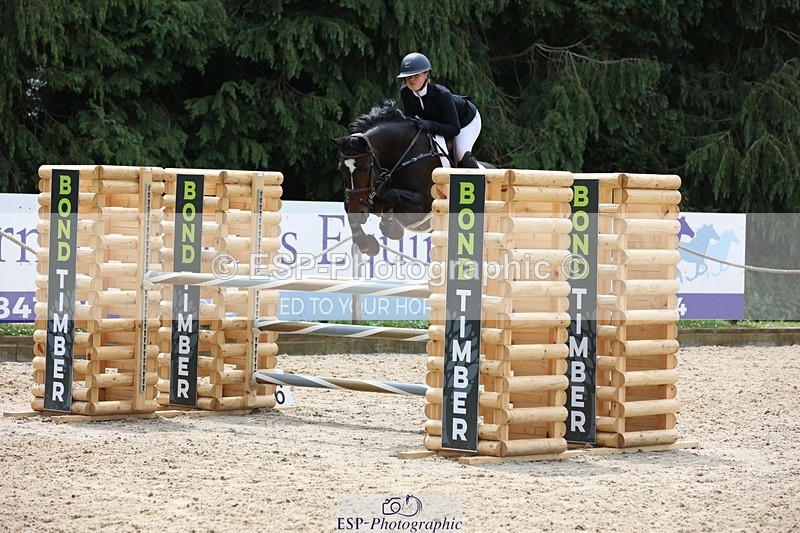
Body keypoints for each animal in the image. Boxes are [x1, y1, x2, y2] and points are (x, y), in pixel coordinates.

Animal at [332, 100, 451, 256]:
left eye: (365, 168)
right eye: (341, 170)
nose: (358, 213)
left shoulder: (423, 206)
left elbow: (391, 195)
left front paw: (391, 229)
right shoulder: (371, 197)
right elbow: (347, 206)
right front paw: (366, 244)